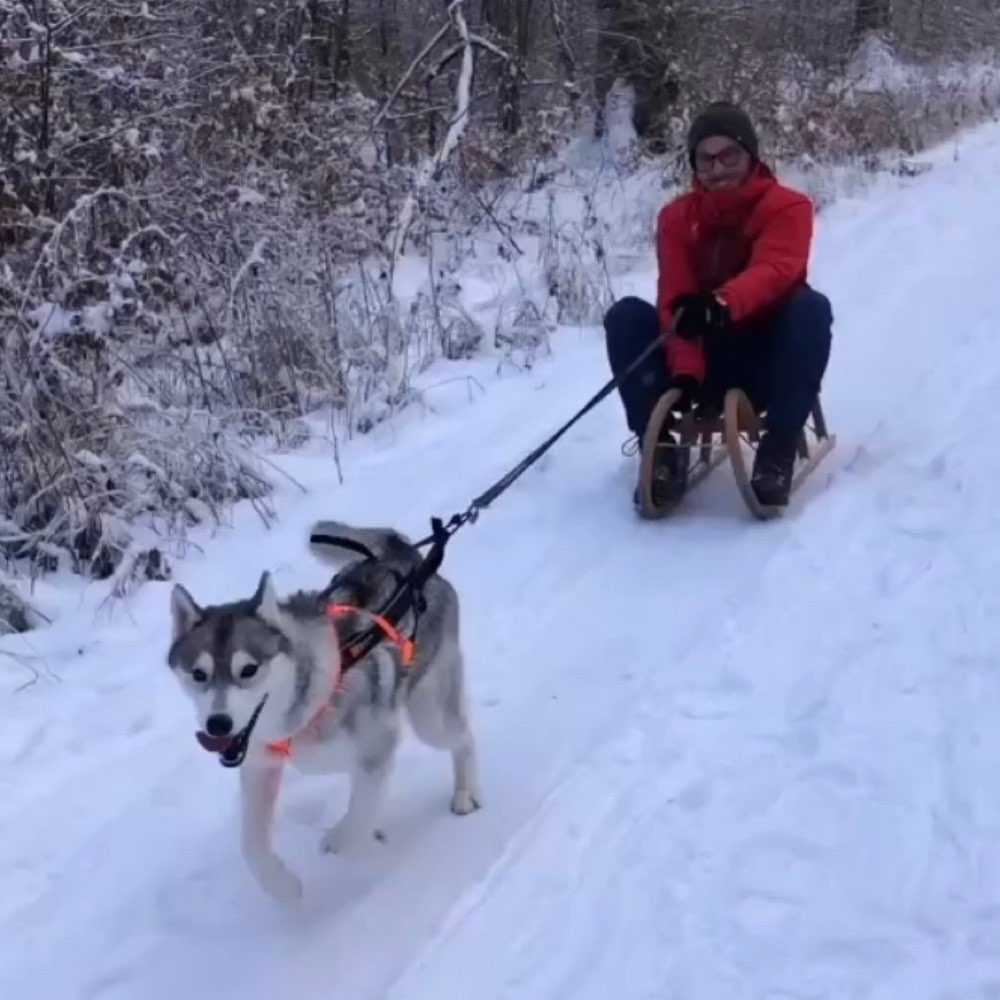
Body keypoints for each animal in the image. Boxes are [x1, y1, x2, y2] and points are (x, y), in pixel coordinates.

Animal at [167, 524, 480, 908]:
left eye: (249, 669)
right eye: (199, 674)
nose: (218, 724)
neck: (300, 710)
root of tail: (401, 554)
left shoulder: (378, 745)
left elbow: (357, 816)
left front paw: (341, 840)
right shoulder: (259, 766)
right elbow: (251, 846)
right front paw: (283, 887)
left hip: (429, 714)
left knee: (463, 736)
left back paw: (465, 793)